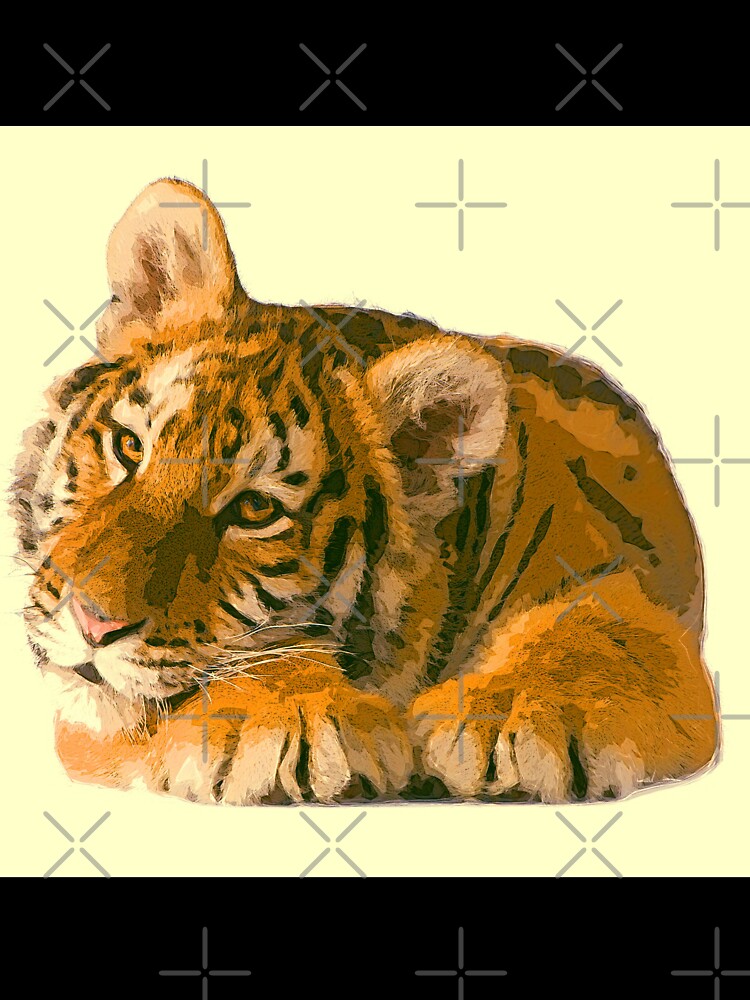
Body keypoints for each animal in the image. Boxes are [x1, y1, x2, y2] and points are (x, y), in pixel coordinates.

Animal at [13, 178, 719, 805]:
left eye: (255, 509)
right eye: (129, 448)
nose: (91, 622)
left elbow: (603, 625)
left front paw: (518, 711)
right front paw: (288, 717)